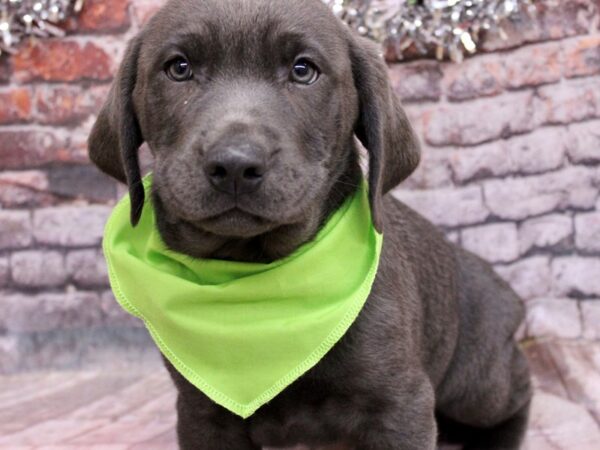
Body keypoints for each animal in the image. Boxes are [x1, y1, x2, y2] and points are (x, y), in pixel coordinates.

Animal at [88, 0, 528, 448]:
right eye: (179, 68)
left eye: (303, 70)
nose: (234, 164)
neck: (254, 277)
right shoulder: (202, 413)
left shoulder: (400, 404)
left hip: (476, 385)